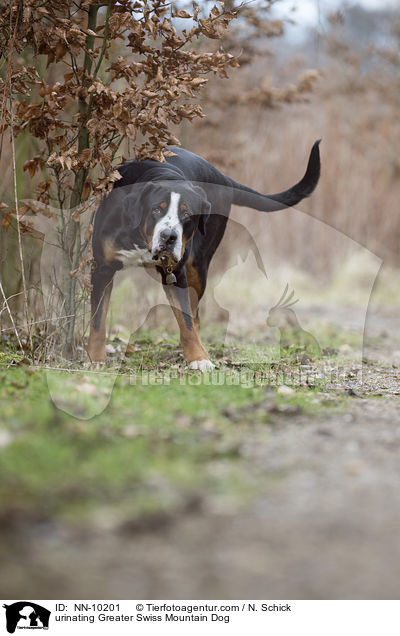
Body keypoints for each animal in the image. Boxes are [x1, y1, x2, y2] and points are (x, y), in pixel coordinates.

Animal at [88, 139, 322, 368]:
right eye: (156, 209)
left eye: (187, 214)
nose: (169, 236)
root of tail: (221, 176)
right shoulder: (102, 270)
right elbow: (98, 321)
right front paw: (96, 359)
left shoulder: (177, 274)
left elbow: (187, 322)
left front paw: (198, 358)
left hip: (198, 267)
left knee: (195, 316)